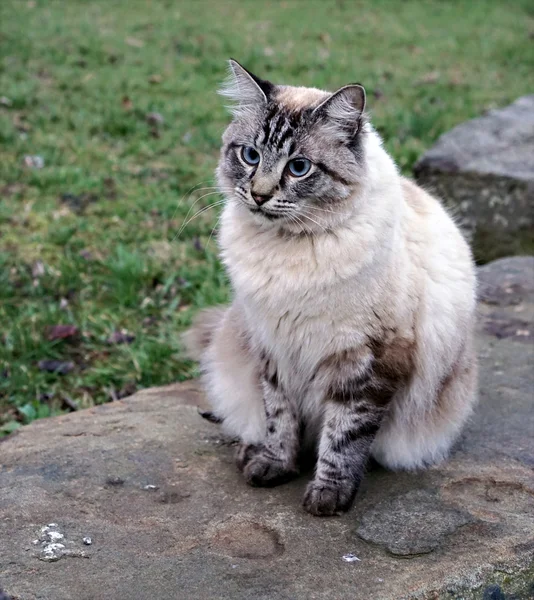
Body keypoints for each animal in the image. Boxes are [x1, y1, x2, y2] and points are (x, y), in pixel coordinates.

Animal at [185, 61, 482, 516]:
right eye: (250, 155)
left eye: (299, 167)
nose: (259, 195)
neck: (287, 249)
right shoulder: (274, 348)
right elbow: (279, 420)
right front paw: (273, 466)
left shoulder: (366, 359)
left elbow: (344, 436)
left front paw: (327, 496)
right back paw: (246, 450)